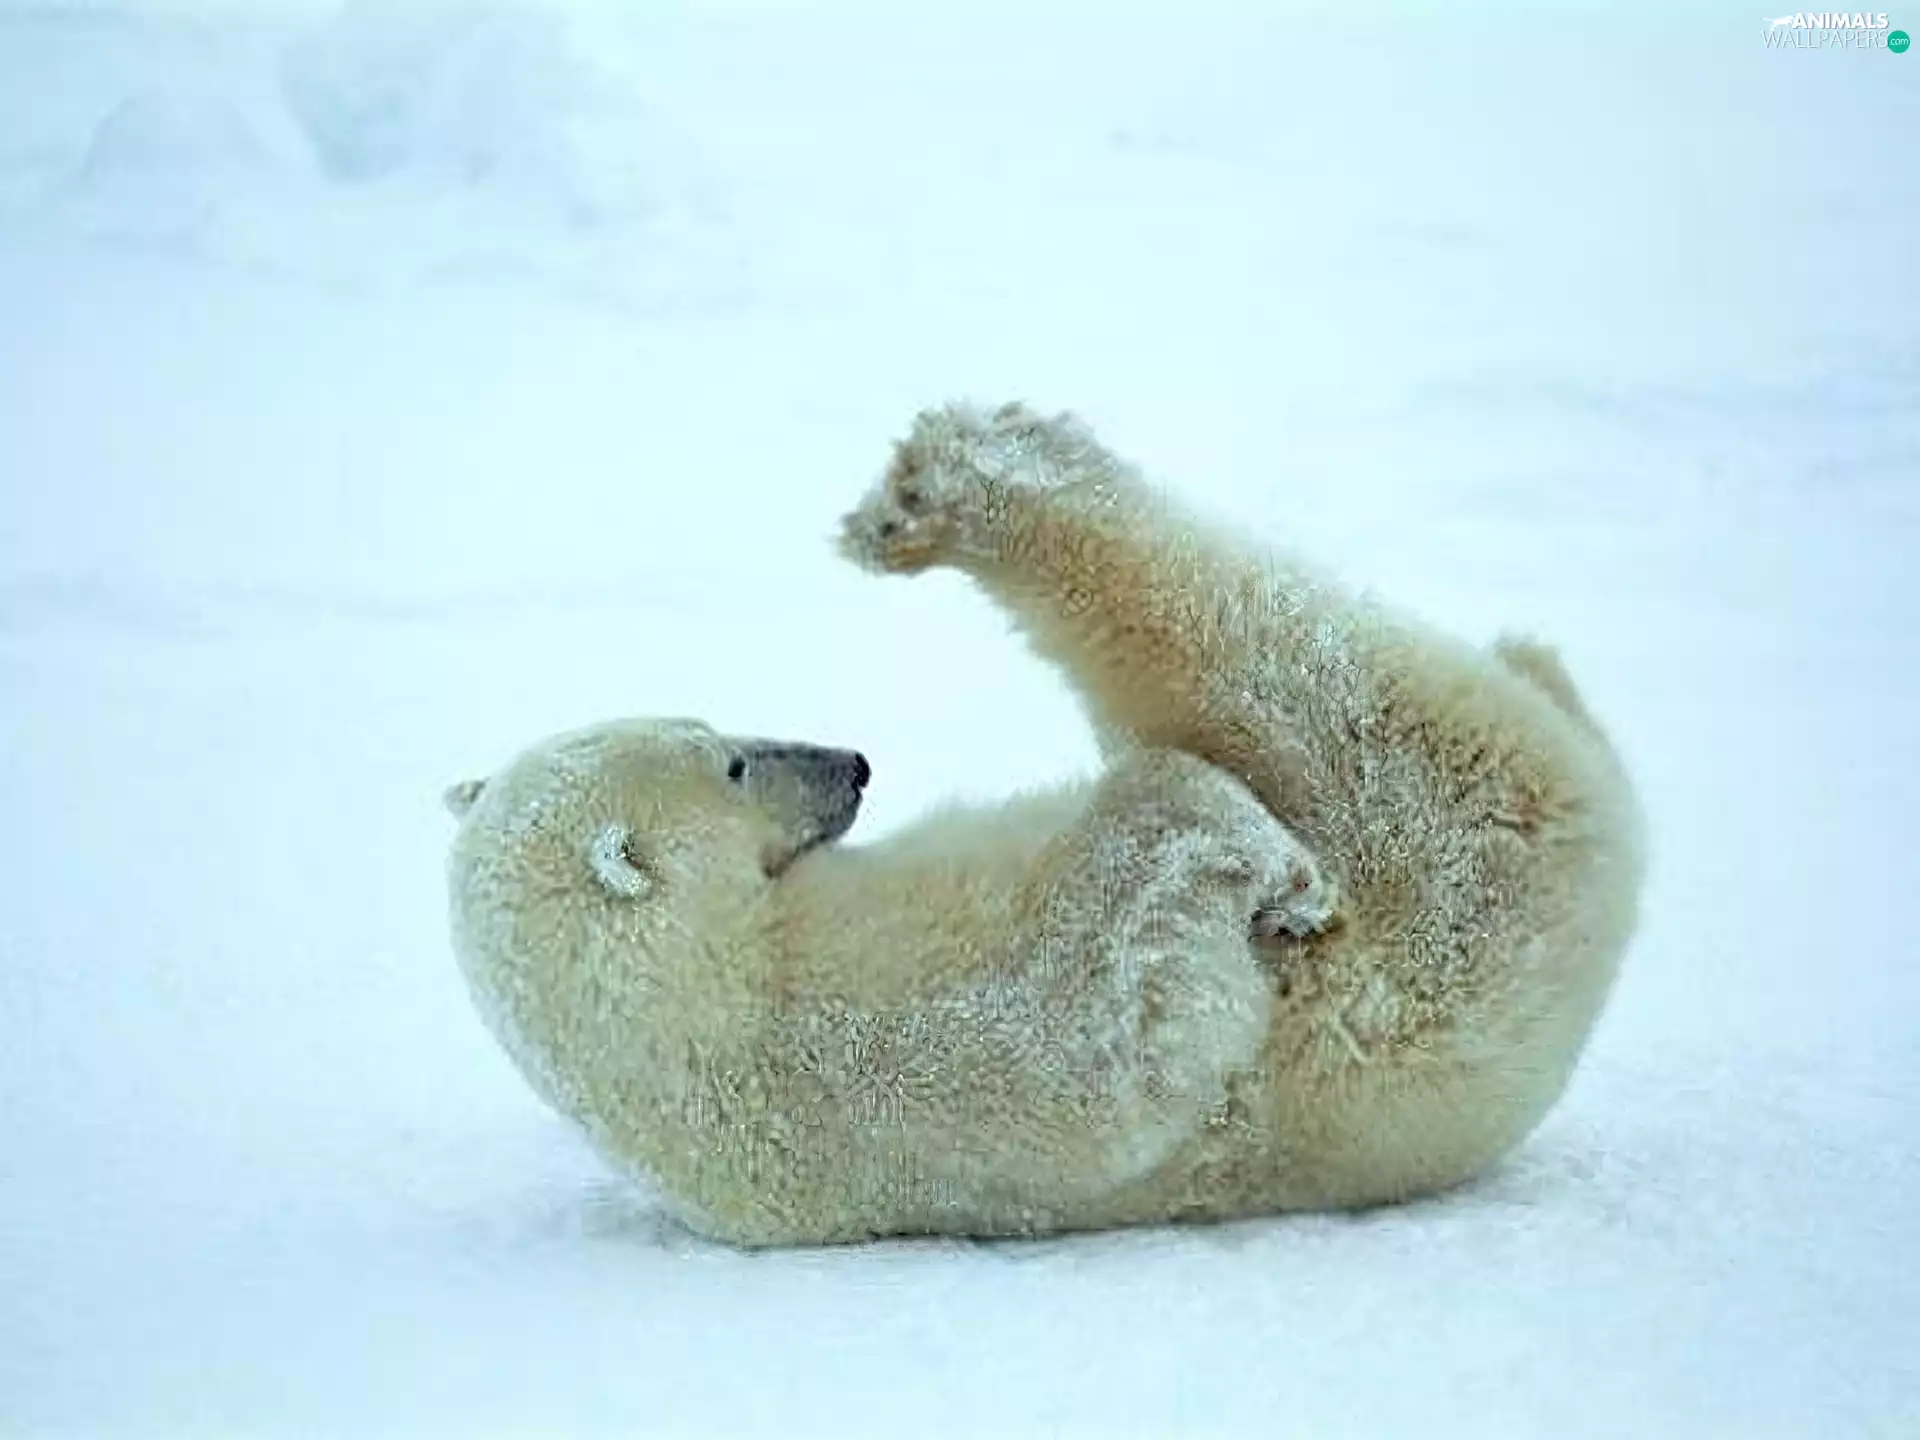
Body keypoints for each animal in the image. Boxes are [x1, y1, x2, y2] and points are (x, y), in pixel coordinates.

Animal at [443, 401, 1646, 1246]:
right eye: (732, 764)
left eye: (709, 723)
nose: (854, 765)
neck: (692, 1002)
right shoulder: (875, 1046)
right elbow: (1102, 992)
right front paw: (1264, 862)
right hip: (1449, 852)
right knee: (1265, 659)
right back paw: (944, 487)